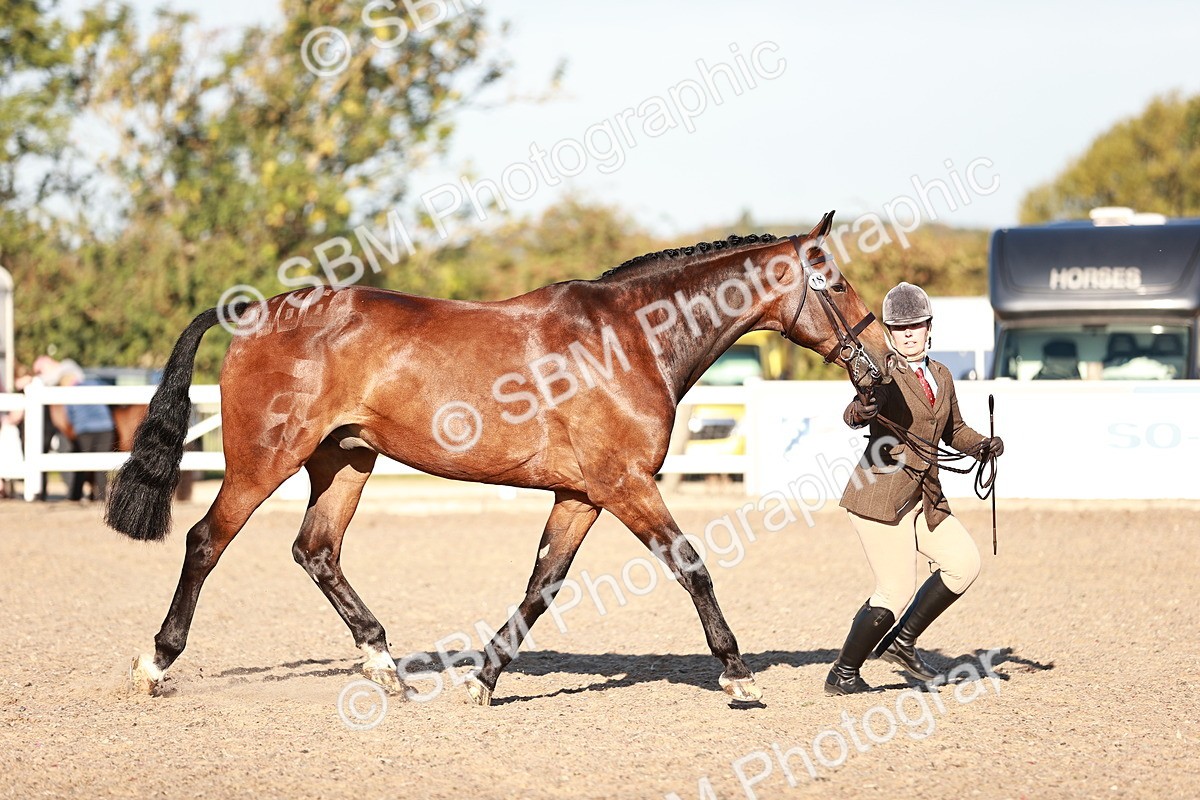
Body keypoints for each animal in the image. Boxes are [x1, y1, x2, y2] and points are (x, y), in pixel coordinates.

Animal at [106, 210, 895, 706]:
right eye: (836, 282)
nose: (882, 364)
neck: (631, 339)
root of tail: (253, 313)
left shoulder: (583, 495)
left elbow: (543, 584)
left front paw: (483, 678)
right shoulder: (626, 485)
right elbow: (692, 565)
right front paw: (737, 675)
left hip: (344, 462)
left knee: (317, 551)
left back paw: (387, 668)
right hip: (263, 461)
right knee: (206, 541)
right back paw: (155, 664)